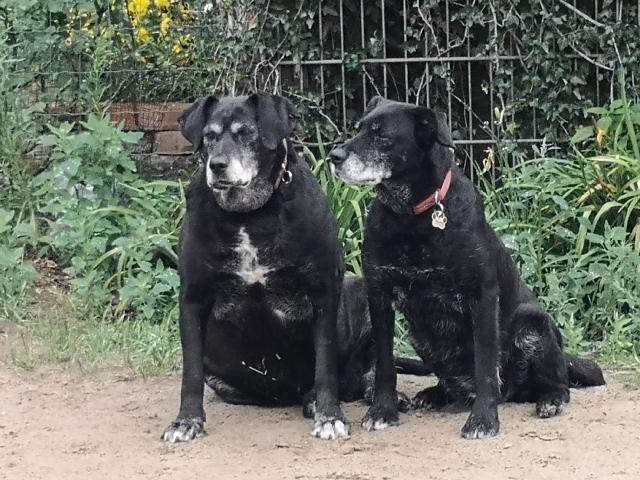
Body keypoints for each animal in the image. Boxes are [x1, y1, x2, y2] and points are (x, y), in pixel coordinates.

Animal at [161, 93, 386, 443]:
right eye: (210, 137)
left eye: (246, 134)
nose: (217, 165)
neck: (249, 214)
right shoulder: (192, 299)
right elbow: (191, 373)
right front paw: (186, 421)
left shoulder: (323, 293)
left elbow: (325, 366)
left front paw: (330, 416)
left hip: (361, 289)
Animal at [329, 96, 605, 439]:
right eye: (359, 128)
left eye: (382, 135)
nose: (333, 157)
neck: (413, 218)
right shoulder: (379, 296)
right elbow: (384, 367)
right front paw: (382, 411)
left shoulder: (482, 297)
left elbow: (486, 366)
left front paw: (483, 420)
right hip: (422, 337)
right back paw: (435, 394)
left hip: (532, 322)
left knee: (556, 384)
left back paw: (549, 399)